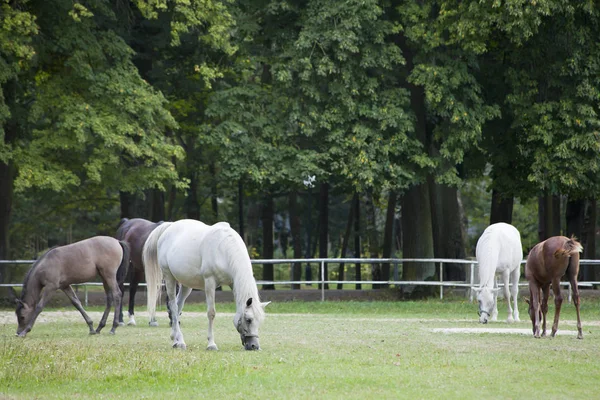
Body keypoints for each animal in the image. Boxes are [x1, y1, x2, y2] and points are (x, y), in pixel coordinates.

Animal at [143, 219, 270, 350]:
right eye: (249, 320)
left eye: (260, 320)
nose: (254, 346)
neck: (223, 249)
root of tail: (169, 226)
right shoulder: (210, 283)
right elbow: (211, 313)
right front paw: (211, 344)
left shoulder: (233, 282)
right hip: (169, 278)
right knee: (173, 306)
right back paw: (180, 341)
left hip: (186, 285)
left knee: (178, 307)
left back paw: (175, 339)